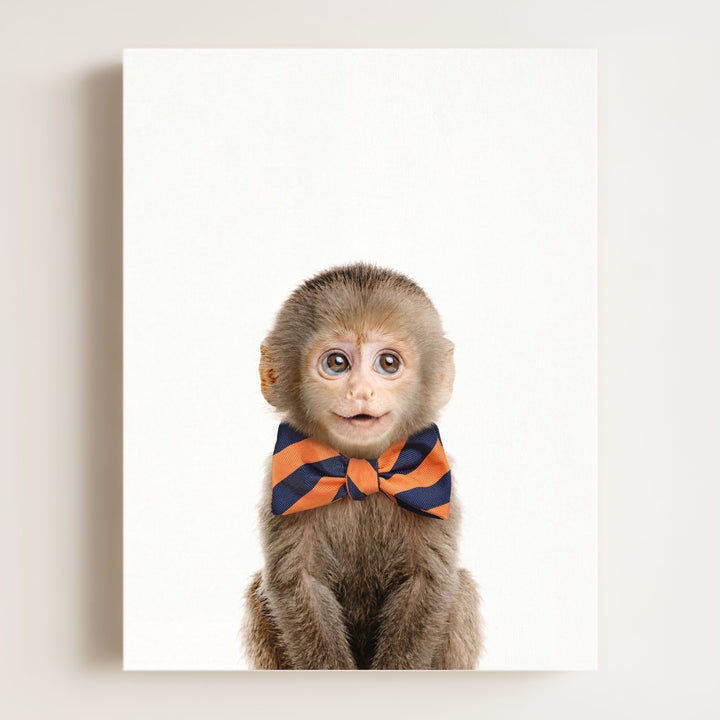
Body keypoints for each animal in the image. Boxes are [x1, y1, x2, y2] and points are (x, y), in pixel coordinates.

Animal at [243, 263, 482, 670]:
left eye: (388, 363)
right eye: (337, 363)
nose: (361, 392)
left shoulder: (437, 482)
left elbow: (428, 582)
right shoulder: (281, 485)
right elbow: (298, 583)